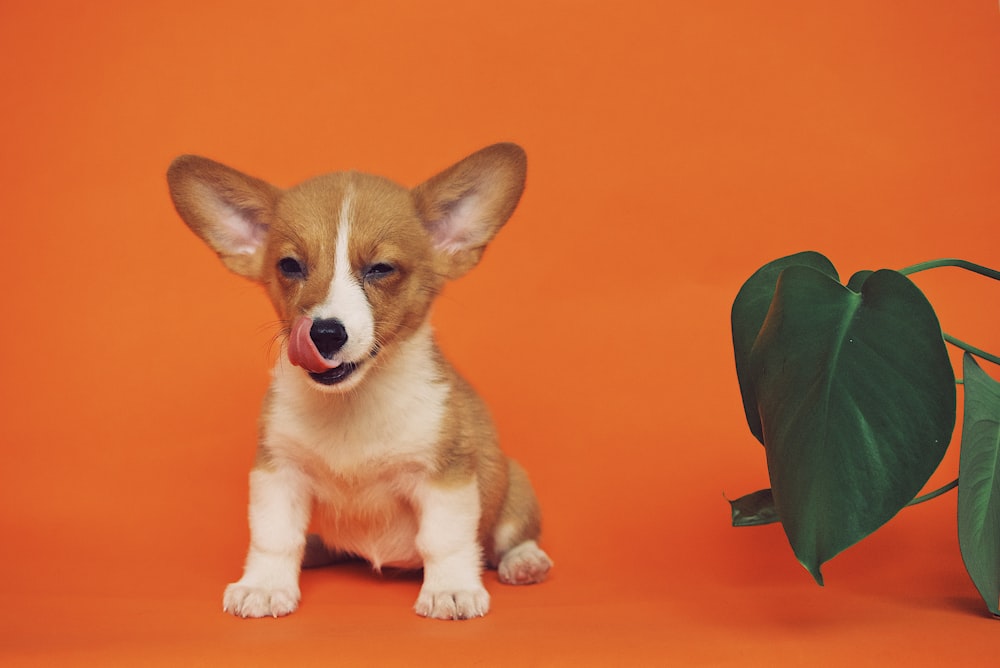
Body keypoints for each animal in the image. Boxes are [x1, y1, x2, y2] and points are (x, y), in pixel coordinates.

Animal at [167, 144, 552, 620]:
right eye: (290, 266)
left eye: (381, 269)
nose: (325, 333)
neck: (352, 402)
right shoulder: (279, 471)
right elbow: (274, 538)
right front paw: (265, 585)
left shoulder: (445, 476)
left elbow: (444, 540)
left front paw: (450, 589)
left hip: (513, 486)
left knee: (508, 537)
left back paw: (525, 561)